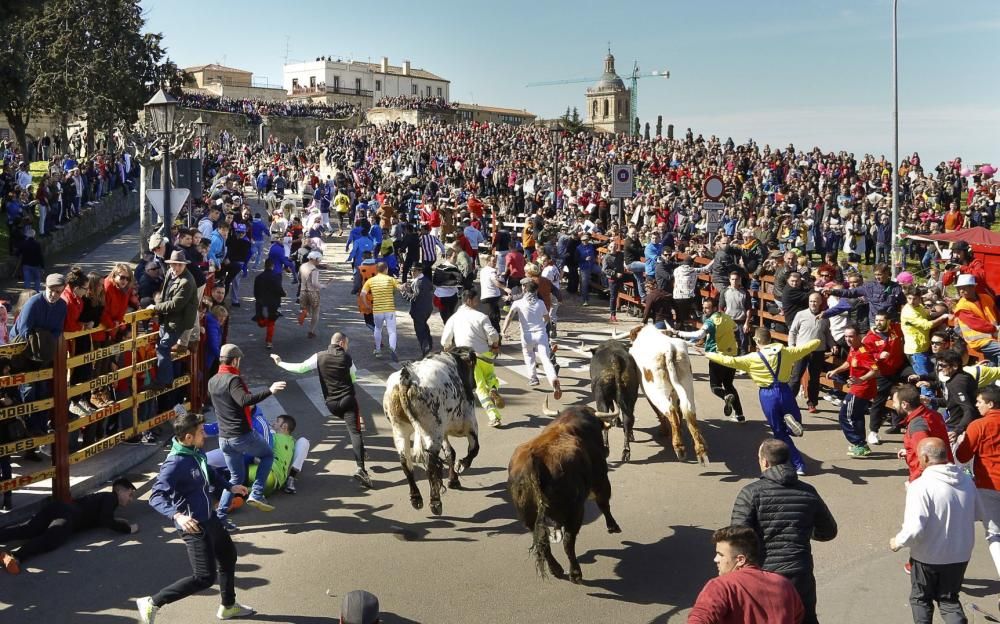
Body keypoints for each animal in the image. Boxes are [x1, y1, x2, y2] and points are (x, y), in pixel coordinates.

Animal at [382, 348, 480, 516]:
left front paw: (454, 480)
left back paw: (416, 498)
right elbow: (473, 449)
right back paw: (435, 502)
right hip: (432, 433)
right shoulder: (470, 424)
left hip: (400, 430)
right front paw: (461, 465)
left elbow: (450, 453)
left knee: (405, 461)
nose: (473, 384)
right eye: (473, 365)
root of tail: (407, 376)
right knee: (430, 463)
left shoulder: (444, 431)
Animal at [512, 408, 620, 584]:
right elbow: (604, 504)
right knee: (568, 542)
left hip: (529, 517)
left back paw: (556, 569)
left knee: (542, 540)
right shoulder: (602, 480)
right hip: (574, 510)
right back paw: (575, 573)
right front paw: (613, 526)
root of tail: (534, 461)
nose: (606, 450)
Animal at [628, 326, 708, 464]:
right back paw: (700, 450)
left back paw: (679, 447)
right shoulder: (675, 394)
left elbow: (660, 413)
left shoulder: (647, 393)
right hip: (687, 386)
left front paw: (664, 430)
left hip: (655, 391)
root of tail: (669, 349)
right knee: (688, 412)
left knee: (670, 411)